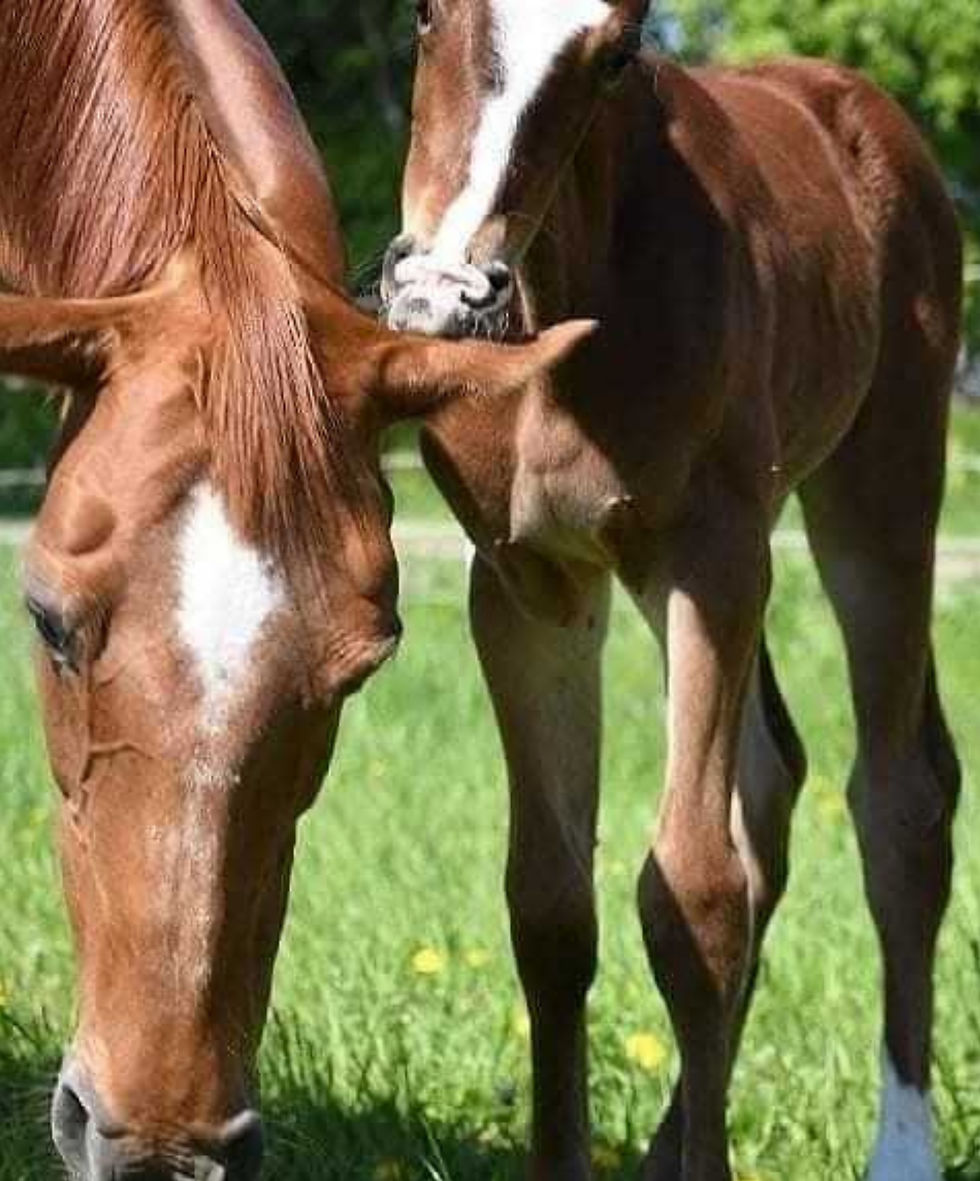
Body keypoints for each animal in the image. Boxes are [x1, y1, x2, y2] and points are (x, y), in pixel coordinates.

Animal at [381, 2, 964, 1178]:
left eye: (613, 55)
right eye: (425, 16)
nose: (440, 294)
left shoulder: (708, 559)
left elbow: (693, 895)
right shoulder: (529, 583)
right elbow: (550, 903)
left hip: (876, 492)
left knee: (899, 800)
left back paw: (900, 1145)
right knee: (774, 773)